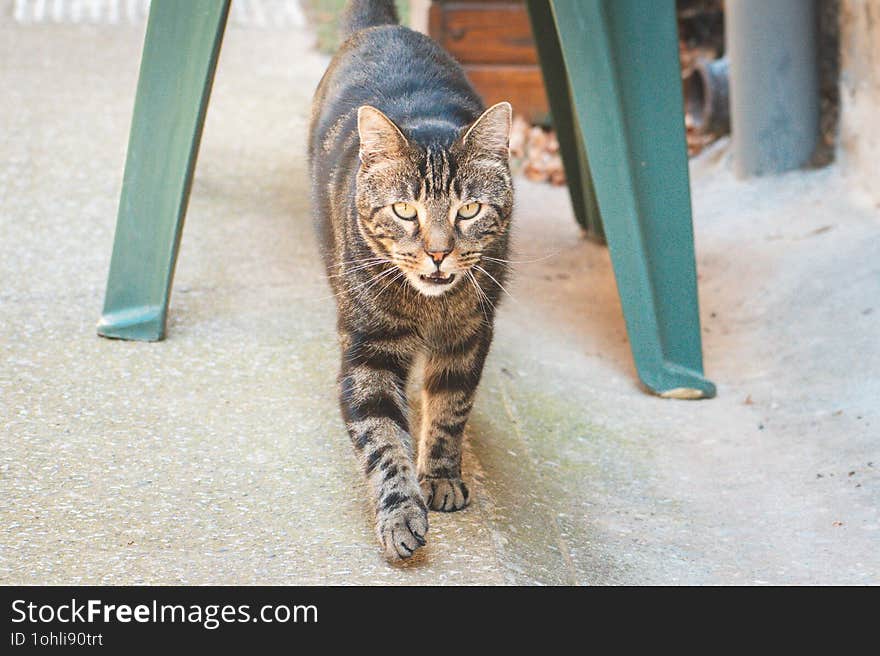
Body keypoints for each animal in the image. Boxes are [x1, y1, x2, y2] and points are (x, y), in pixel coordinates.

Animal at [310, 1, 516, 564]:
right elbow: (383, 440)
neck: (429, 308)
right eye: (405, 210)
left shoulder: (469, 336)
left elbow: (450, 409)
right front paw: (400, 513)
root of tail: (385, 26)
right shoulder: (368, 351)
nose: (438, 252)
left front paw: (440, 476)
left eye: (469, 209)